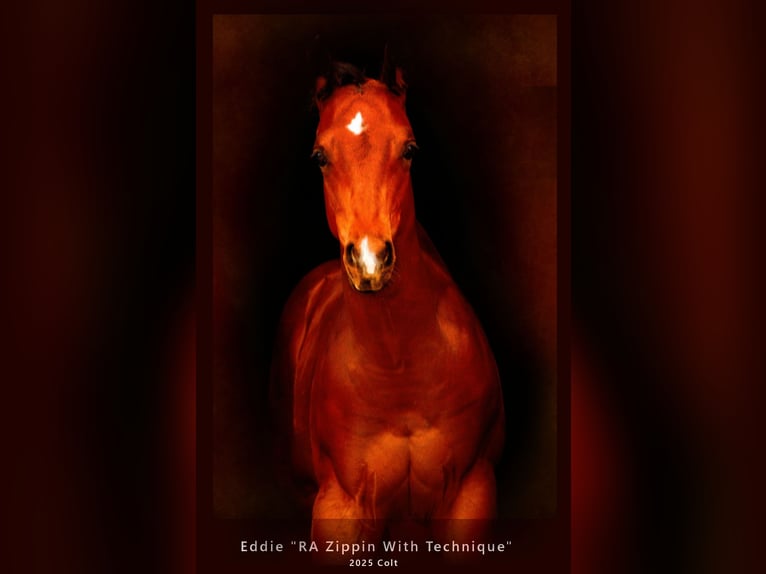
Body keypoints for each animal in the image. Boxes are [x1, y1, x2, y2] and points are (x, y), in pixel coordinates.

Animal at [271, 63, 505, 548]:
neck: (400, 371)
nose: (369, 260)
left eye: (410, 148)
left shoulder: (471, 496)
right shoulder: (339, 508)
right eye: (319, 156)